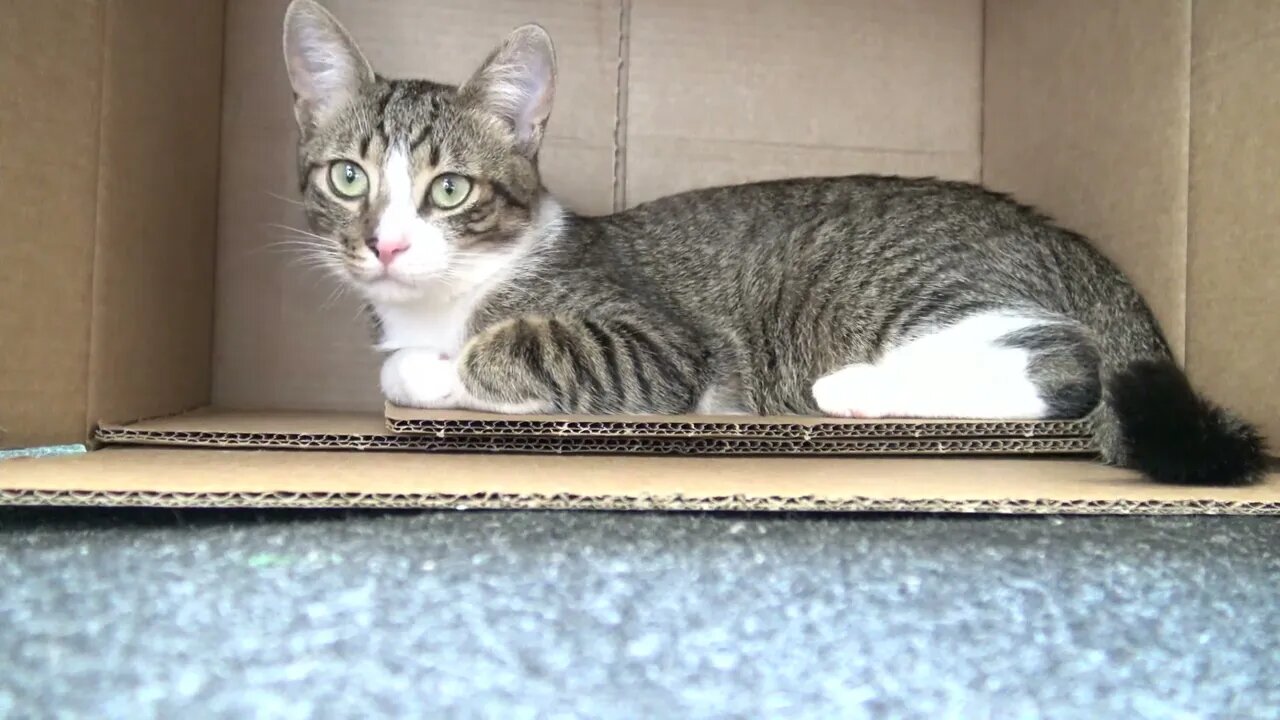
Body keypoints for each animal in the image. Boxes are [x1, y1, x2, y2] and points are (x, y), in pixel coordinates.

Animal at [275, 0, 1264, 484]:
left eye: (449, 189)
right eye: (348, 178)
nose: (385, 247)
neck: (452, 294)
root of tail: (1074, 248)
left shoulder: (653, 348)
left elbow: (502, 350)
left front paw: (438, 364)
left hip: (917, 294)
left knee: (1059, 367)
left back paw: (854, 388)